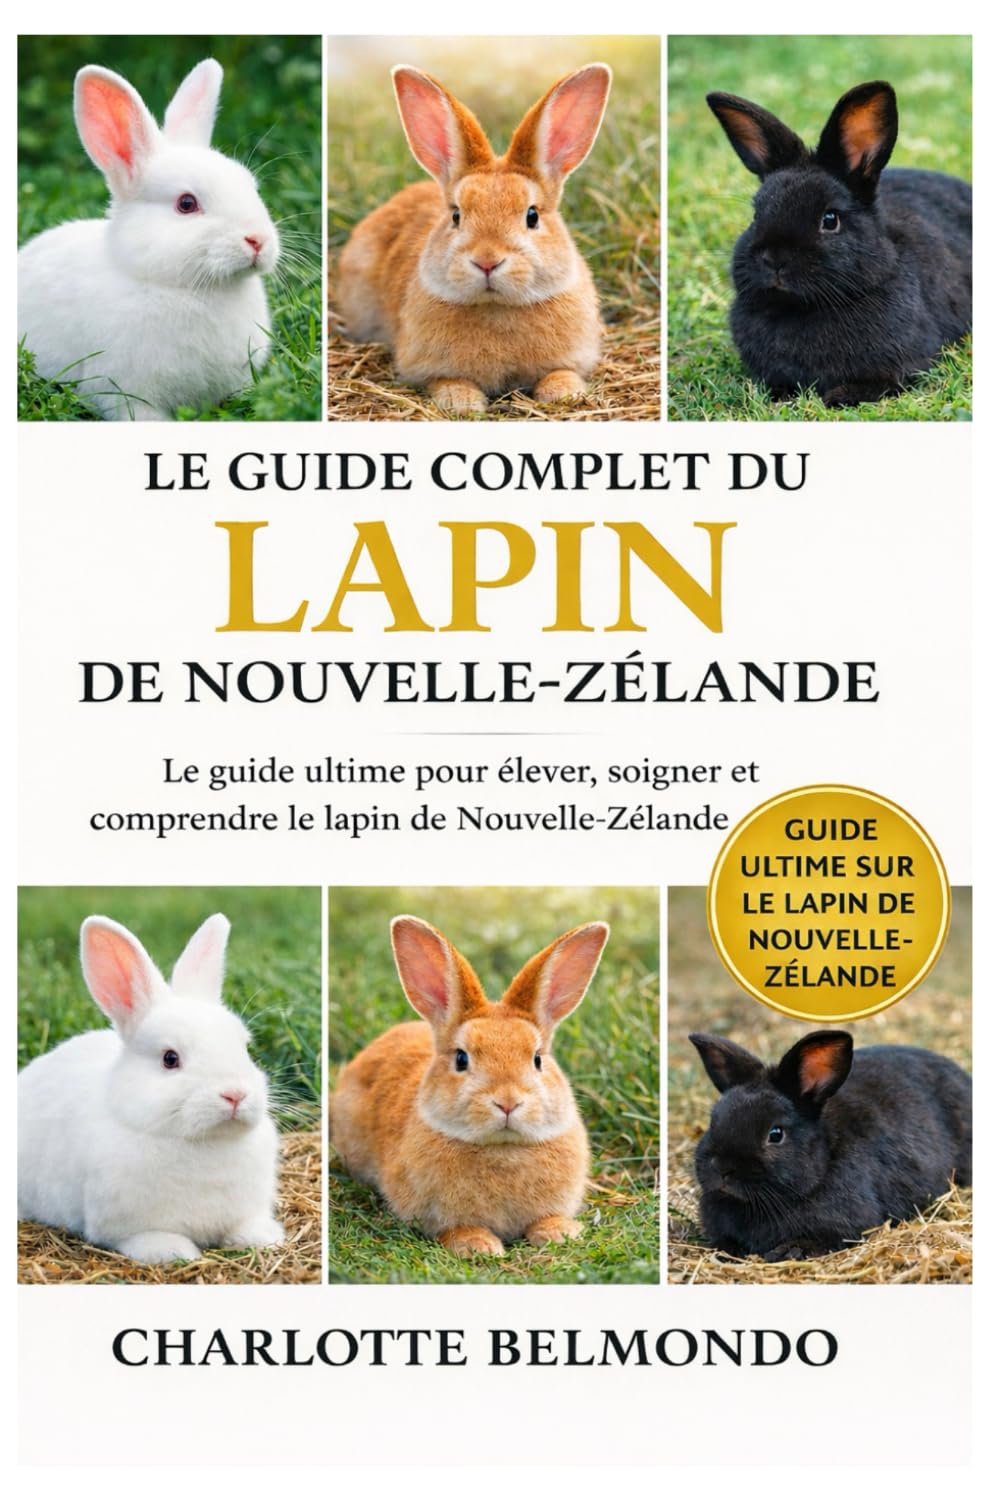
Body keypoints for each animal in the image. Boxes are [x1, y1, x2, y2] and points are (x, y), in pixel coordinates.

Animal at [17, 913, 283, 1263]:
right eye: (170, 1059)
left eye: (245, 1048)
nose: (235, 1094)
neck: (206, 1144)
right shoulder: (126, 1227)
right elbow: (146, 1238)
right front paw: (174, 1252)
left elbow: (245, 1225)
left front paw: (265, 1238)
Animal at [331, 915, 609, 1257]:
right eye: (461, 1059)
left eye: (537, 1059)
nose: (508, 1102)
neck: (503, 1149)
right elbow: (456, 1228)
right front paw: (478, 1245)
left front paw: (560, 1232)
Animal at [335, 64, 612, 413]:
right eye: (456, 215)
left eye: (532, 216)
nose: (487, 261)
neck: (497, 307)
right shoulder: (427, 366)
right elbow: (447, 380)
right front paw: (462, 402)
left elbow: (561, 373)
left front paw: (565, 393)